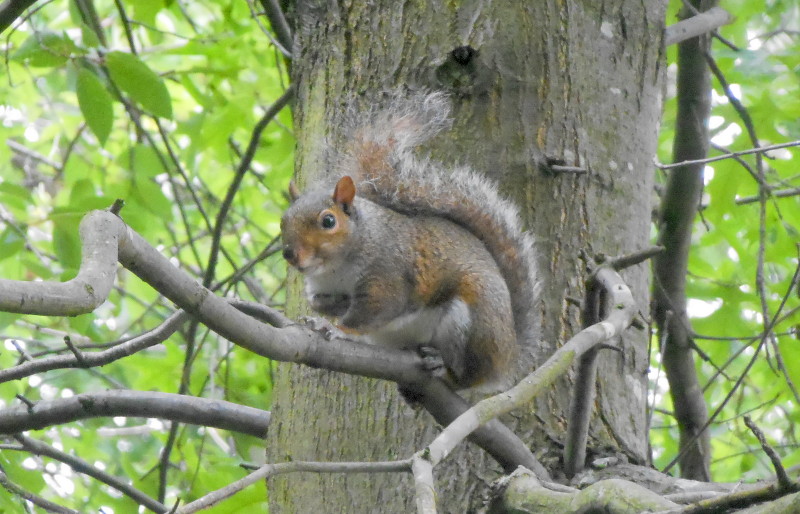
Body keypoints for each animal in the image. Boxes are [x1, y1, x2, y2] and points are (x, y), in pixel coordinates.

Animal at [280, 92, 538, 390]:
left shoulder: (387, 275)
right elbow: (321, 301)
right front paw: (325, 309)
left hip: (471, 322)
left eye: (329, 221)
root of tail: (509, 356)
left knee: (468, 377)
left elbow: (375, 310)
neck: (334, 268)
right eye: (283, 220)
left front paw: (336, 327)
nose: (290, 254)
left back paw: (445, 369)